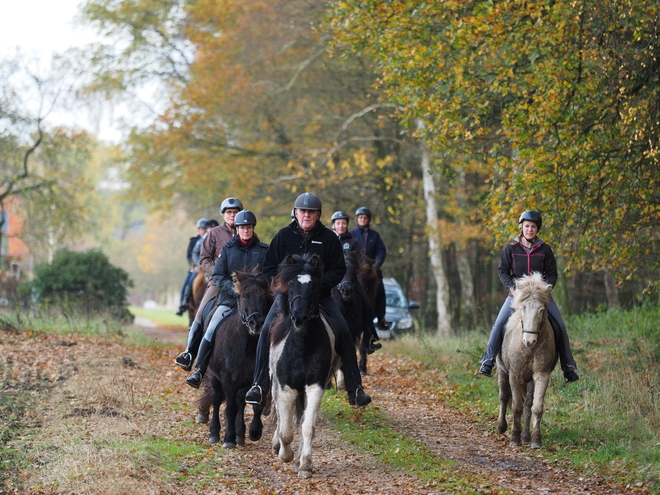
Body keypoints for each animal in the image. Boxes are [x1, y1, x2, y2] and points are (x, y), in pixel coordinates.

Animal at [268, 254, 340, 478]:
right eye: (291, 284)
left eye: (314, 285)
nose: (299, 317)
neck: (302, 345)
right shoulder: (286, 389)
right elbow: (285, 430)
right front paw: (285, 455)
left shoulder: (315, 387)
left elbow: (308, 427)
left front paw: (305, 464)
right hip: (274, 385)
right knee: (279, 416)